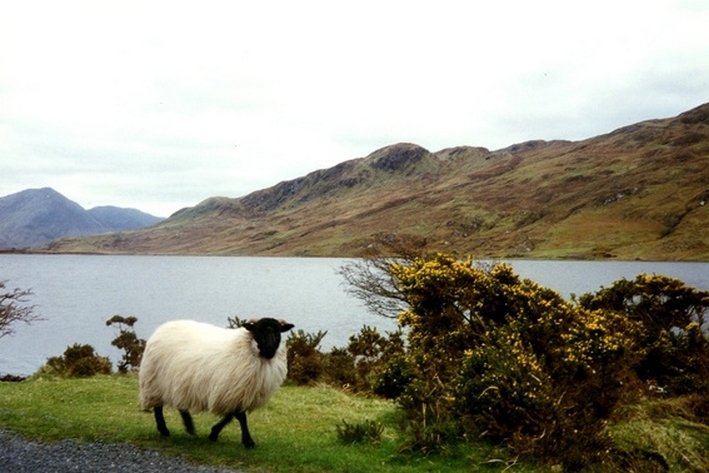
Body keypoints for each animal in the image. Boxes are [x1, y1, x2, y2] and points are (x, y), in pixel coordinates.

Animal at [138, 318, 294, 446]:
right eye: (258, 331)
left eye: (278, 332)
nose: (269, 350)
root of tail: (162, 328)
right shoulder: (232, 389)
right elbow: (240, 417)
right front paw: (248, 441)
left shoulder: (234, 393)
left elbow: (230, 416)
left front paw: (214, 433)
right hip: (155, 380)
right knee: (158, 407)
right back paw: (166, 429)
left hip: (179, 382)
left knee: (180, 404)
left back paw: (189, 426)